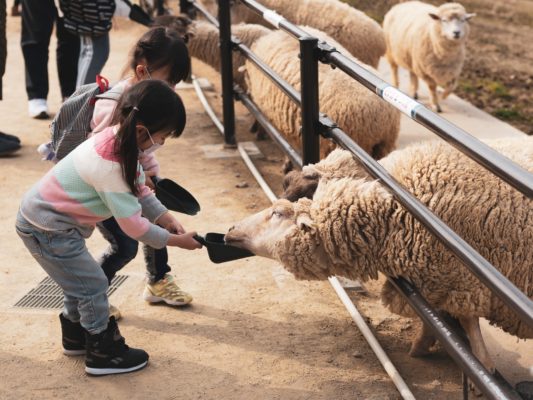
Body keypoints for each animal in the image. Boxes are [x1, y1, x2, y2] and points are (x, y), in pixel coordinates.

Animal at [224, 138, 532, 372]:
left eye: (278, 213)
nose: (230, 230)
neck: (395, 211)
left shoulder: (464, 280)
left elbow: (468, 323)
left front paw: (482, 366)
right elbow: (442, 320)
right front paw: (425, 345)